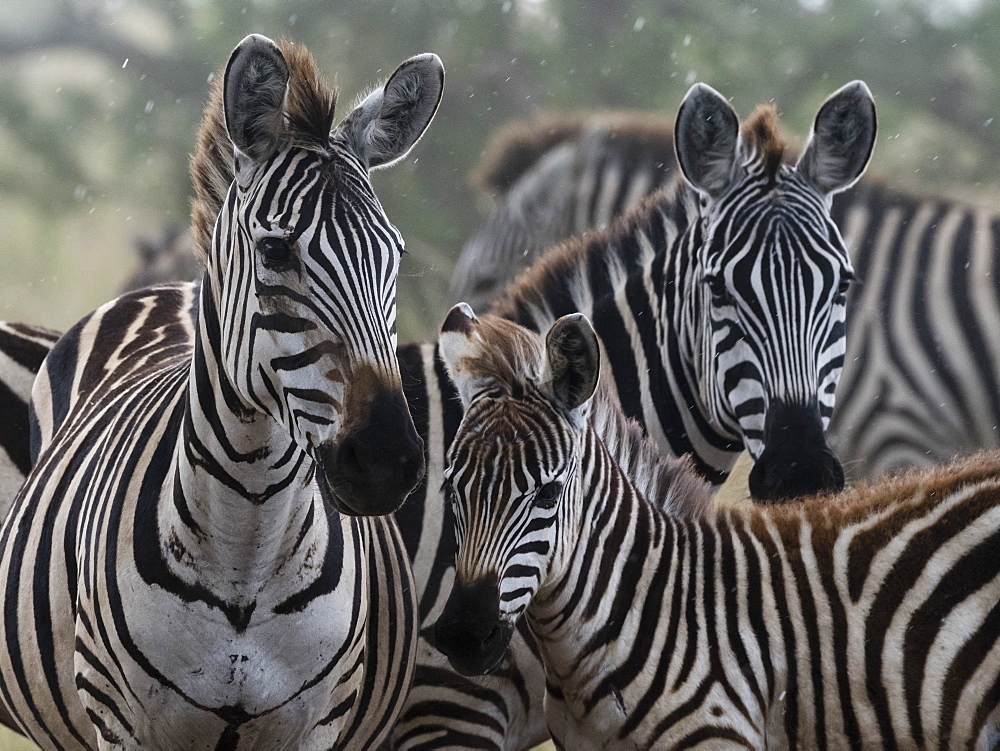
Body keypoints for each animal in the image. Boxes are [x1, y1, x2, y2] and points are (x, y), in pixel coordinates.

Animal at [0, 35, 444, 751]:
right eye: (276, 252)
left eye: (394, 256)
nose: (386, 462)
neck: (248, 540)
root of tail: (169, 288)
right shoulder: (120, 723)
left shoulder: (320, 724)